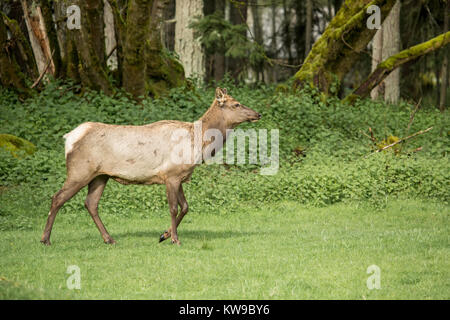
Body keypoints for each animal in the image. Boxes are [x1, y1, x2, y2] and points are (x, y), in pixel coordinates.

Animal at [41, 87, 264, 245]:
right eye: (236, 104)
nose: (258, 114)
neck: (198, 144)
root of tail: (69, 138)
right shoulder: (171, 175)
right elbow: (174, 208)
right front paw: (174, 239)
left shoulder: (179, 176)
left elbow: (185, 207)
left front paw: (163, 235)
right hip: (80, 170)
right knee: (57, 198)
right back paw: (45, 239)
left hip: (100, 176)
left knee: (91, 203)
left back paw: (109, 239)